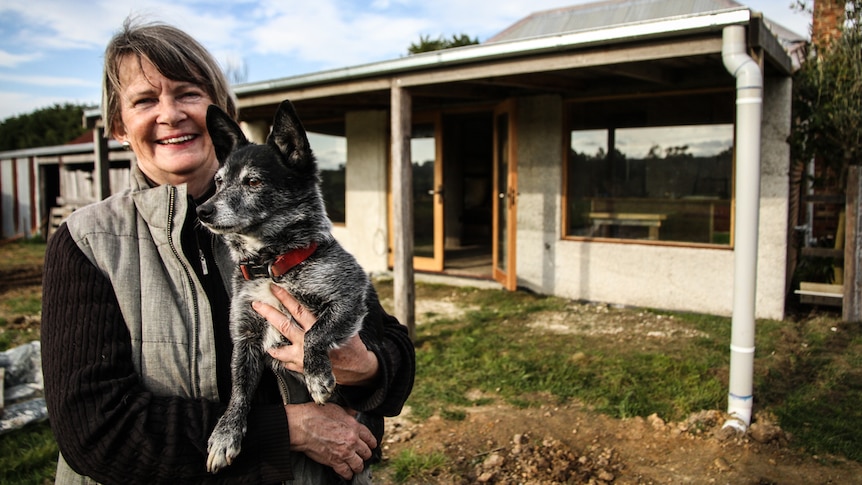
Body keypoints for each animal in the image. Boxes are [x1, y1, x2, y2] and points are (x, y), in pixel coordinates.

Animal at [201, 100, 384, 474]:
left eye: (253, 181)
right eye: (218, 182)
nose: (202, 210)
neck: (271, 264)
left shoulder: (349, 298)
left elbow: (314, 334)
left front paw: (317, 376)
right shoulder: (245, 336)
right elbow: (239, 389)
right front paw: (226, 433)